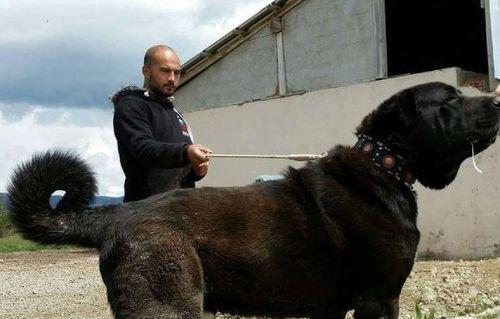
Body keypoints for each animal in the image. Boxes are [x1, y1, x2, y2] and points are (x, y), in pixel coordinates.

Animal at [7, 82, 500, 318]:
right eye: (452, 98)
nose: (496, 100)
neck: (384, 162)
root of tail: (118, 215)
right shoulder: (379, 298)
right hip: (166, 304)